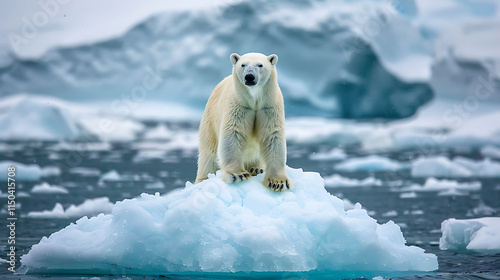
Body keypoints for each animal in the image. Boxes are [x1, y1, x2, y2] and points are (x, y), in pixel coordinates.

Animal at [193, 52, 292, 190]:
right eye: (243, 65)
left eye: (260, 65)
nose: (249, 77)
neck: (254, 100)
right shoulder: (238, 105)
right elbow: (233, 133)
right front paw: (238, 174)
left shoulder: (269, 107)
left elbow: (273, 136)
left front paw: (277, 182)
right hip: (210, 121)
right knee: (208, 154)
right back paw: (203, 179)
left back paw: (256, 168)